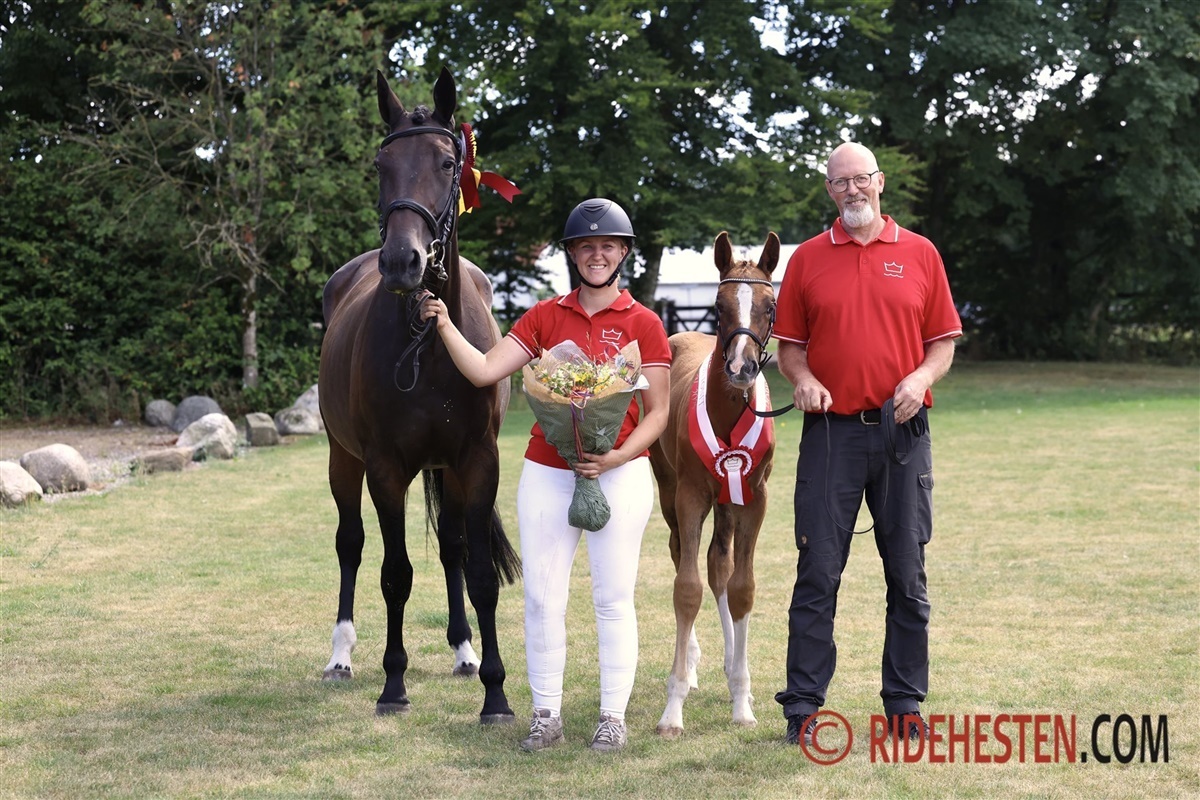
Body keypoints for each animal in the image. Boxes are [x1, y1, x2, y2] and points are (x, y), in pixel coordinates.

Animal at [317, 68, 521, 723]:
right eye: (382, 165)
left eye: (447, 162)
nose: (403, 261)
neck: (428, 345)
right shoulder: (384, 467)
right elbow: (395, 574)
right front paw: (393, 684)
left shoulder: (477, 461)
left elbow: (478, 572)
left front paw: (496, 694)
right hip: (342, 458)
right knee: (350, 545)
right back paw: (341, 655)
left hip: (447, 470)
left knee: (453, 549)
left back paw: (464, 651)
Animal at [649, 230, 780, 738]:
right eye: (719, 306)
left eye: (770, 305)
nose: (742, 368)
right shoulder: (690, 497)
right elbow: (686, 590)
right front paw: (672, 709)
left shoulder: (754, 498)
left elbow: (741, 588)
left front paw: (742, 700)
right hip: (670, 491)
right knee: (682, 557)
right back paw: (692, 664)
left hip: (728, 503)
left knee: (719, 566)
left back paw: (728, 664)